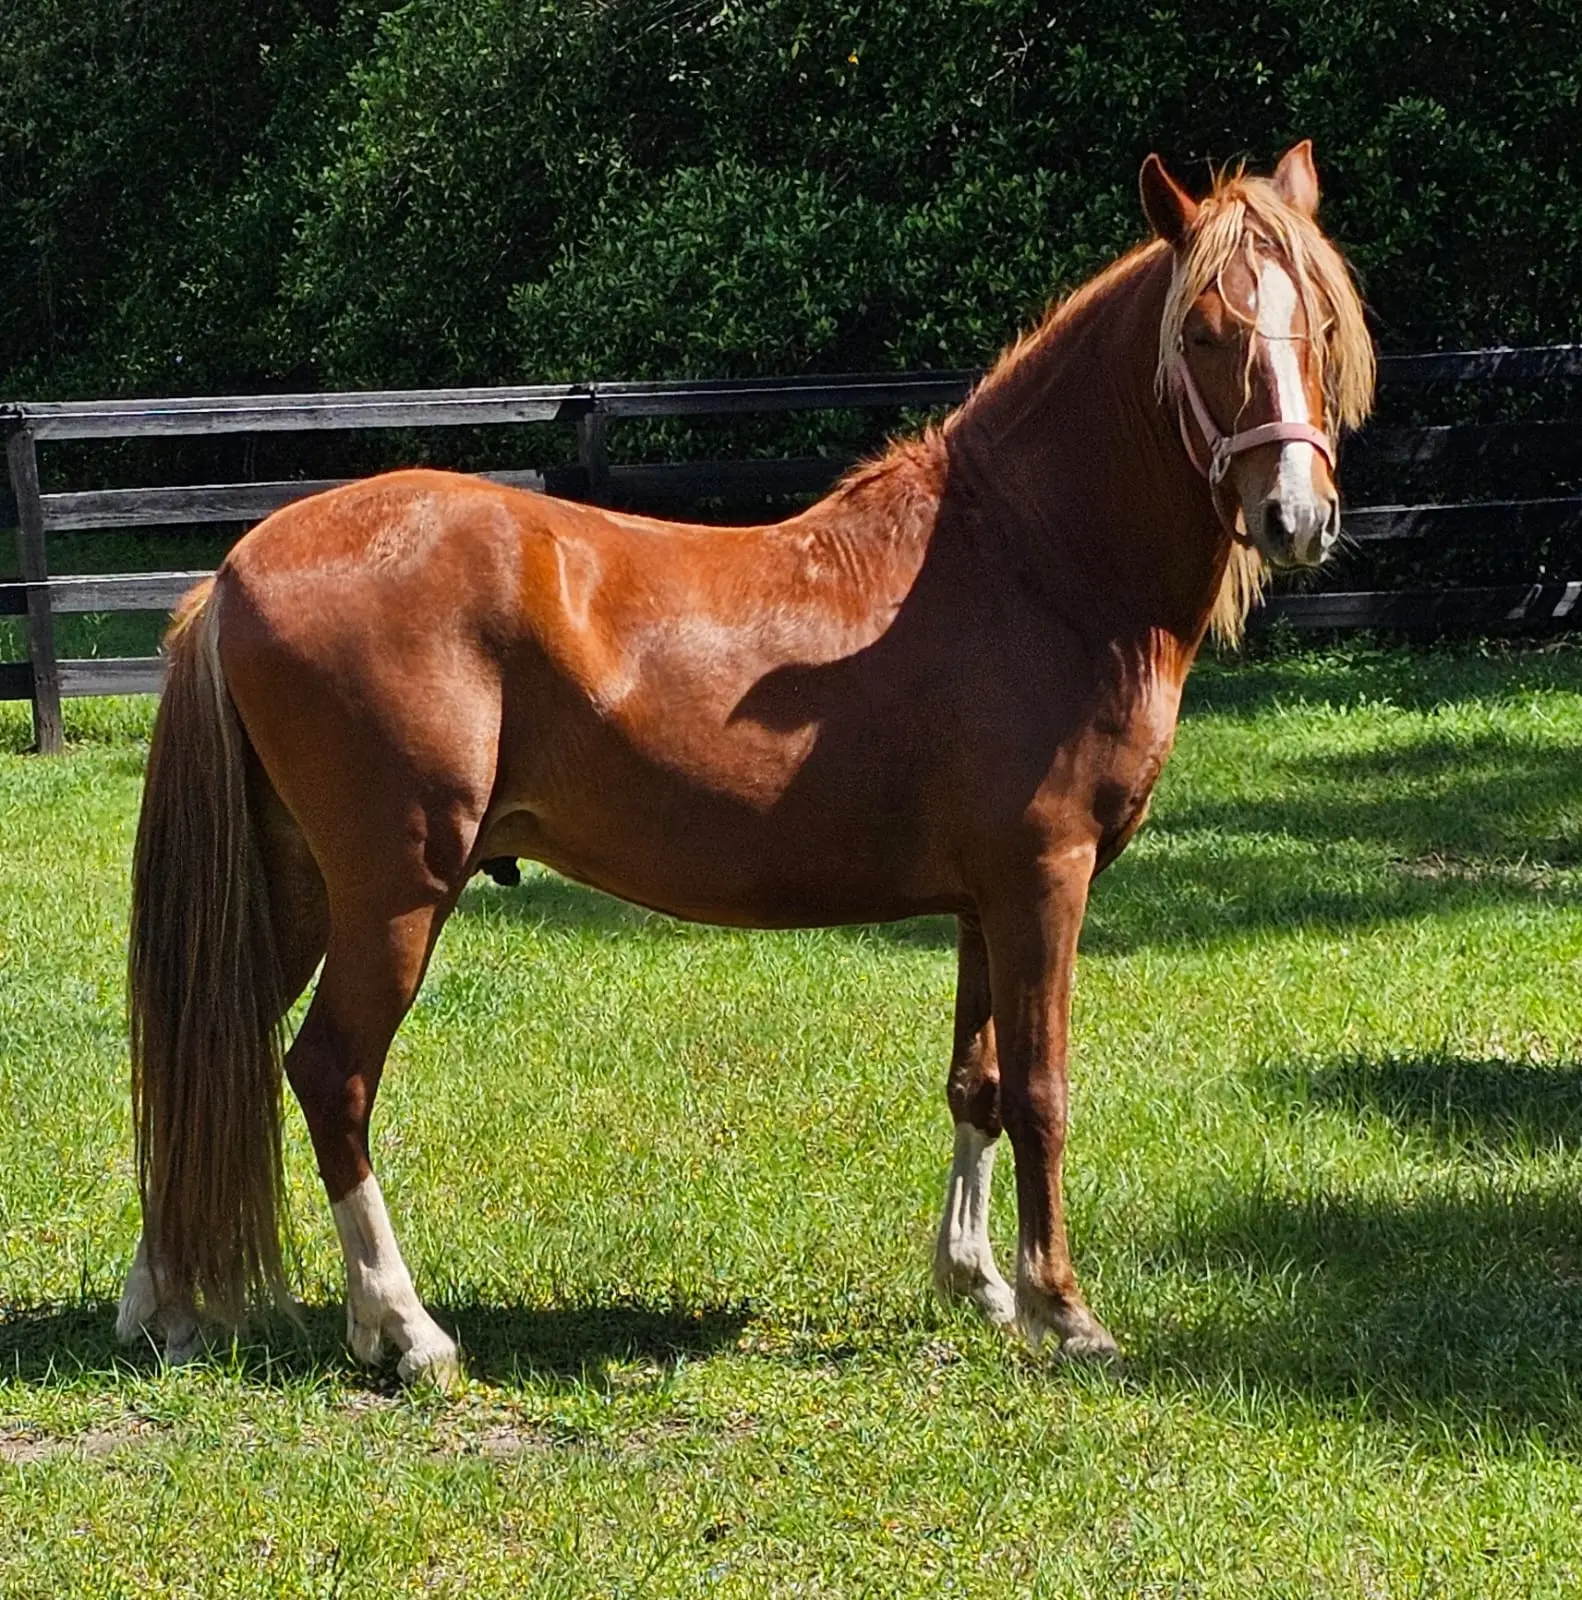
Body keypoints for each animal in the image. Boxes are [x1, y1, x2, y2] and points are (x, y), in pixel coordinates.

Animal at [117, 142, 1374, 1386]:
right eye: (1203, 331)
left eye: (1317, 324)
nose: (1295, 517)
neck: (1026, 564)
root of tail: (231, 575)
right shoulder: (1044, 881)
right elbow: (1042, 1090)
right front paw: (1062, 1310)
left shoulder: (986, 900)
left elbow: (975, 1084)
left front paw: (976, 1284)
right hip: (392, 892)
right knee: (328, 1074)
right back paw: (405, 1328)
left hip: (291, 886)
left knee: (211, 1050)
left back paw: (167, 1302)